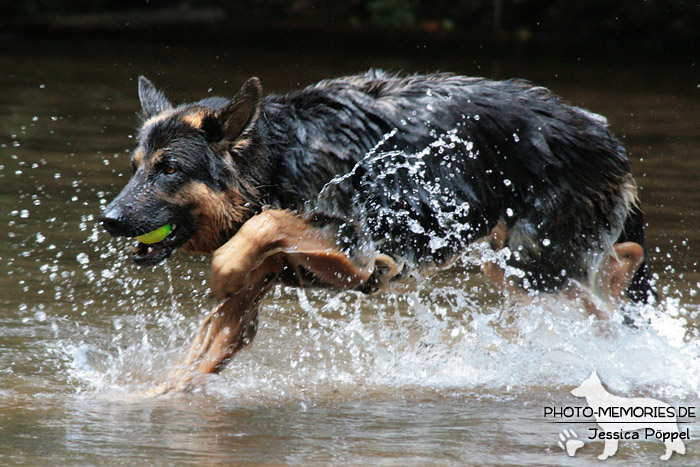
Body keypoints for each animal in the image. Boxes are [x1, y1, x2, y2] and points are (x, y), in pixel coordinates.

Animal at [101, 69, 652, 392]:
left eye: (170, 169)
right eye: (137, 168)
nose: (109, 220)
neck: (279, 157)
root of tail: (607, 137)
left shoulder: (358, 259)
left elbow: (268, 225)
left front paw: (226, 264)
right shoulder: (245, 309)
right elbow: (196, 360)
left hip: (531, 263)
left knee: (614, 278)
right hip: (519, 266)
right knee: (606, 278)